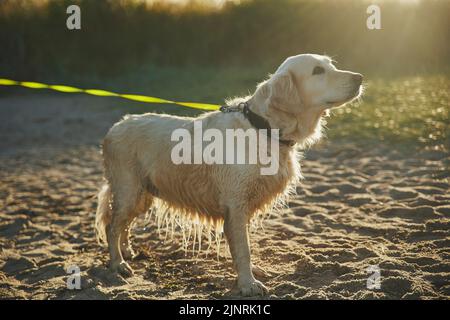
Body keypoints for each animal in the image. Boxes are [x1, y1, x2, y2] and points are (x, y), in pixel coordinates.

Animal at [94, 53, 362, 296]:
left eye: (331, 65)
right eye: (318, 71)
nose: (359, 78)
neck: (263, 128)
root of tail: (115, 126)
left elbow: (245, 245)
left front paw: (252, 274)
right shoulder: (236, 203)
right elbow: (243, 249)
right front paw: (248, 284)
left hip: (143, 195)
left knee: (123, 225)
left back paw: (127, 251)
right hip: (129, 190)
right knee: (112, 226)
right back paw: (118, 264)